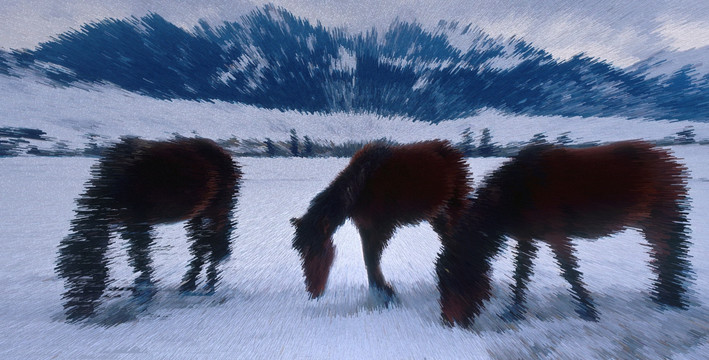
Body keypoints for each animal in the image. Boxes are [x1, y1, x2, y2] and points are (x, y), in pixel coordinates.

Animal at [56, 137, 243, 320]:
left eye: (86, 270)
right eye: (66, 274)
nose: (75, 314)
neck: (118, 183)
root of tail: (225, 155)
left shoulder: (139, 223)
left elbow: (140, 255)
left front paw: (143, 292)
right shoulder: (128, 225)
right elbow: (137, 255)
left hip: (217, 210)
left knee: (213, 244)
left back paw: (209, 285)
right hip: (198, 213)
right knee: (201, 246)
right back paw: (189, 284)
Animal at [290, 139, 472, 302]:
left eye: (318, 250)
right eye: (300, 252)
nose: (313, 291)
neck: (359, 187)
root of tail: (453, 151)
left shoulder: (381, 227)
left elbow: (371, 258)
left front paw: (385, 293)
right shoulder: (365, 226)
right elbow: (368, 259)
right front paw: (380, 291)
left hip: (454, 205)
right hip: (437, 214)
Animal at [436, 140, 692, 326]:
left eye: (455, 281)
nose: (450, 323)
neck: (518, 191)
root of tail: (668, 159)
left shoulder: (556, 237)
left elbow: (570, 272)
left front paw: (589, 311)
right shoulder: (526, 238)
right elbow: (521, 274)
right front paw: (514, 312)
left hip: (662, 217)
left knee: (667, 254)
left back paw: (670, 299)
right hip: (650, 222)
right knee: (663, 256)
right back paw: (665, 297)